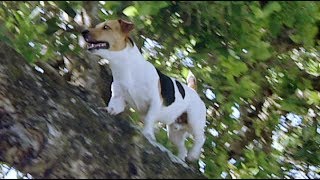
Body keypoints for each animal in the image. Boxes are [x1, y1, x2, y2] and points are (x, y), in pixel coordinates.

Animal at [81, 19, 206, 162]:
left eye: (106, 27)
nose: (83, 32)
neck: (126, 67)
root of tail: (193, 91)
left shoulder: (155, 102)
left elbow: (149, 118)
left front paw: (147, 134)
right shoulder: (118, 99)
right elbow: (113, 108)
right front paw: (106, 110)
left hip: (194, 121)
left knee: (201, 139)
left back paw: (193, 154)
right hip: (175, 132)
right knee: (182, 149)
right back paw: (179, 159)